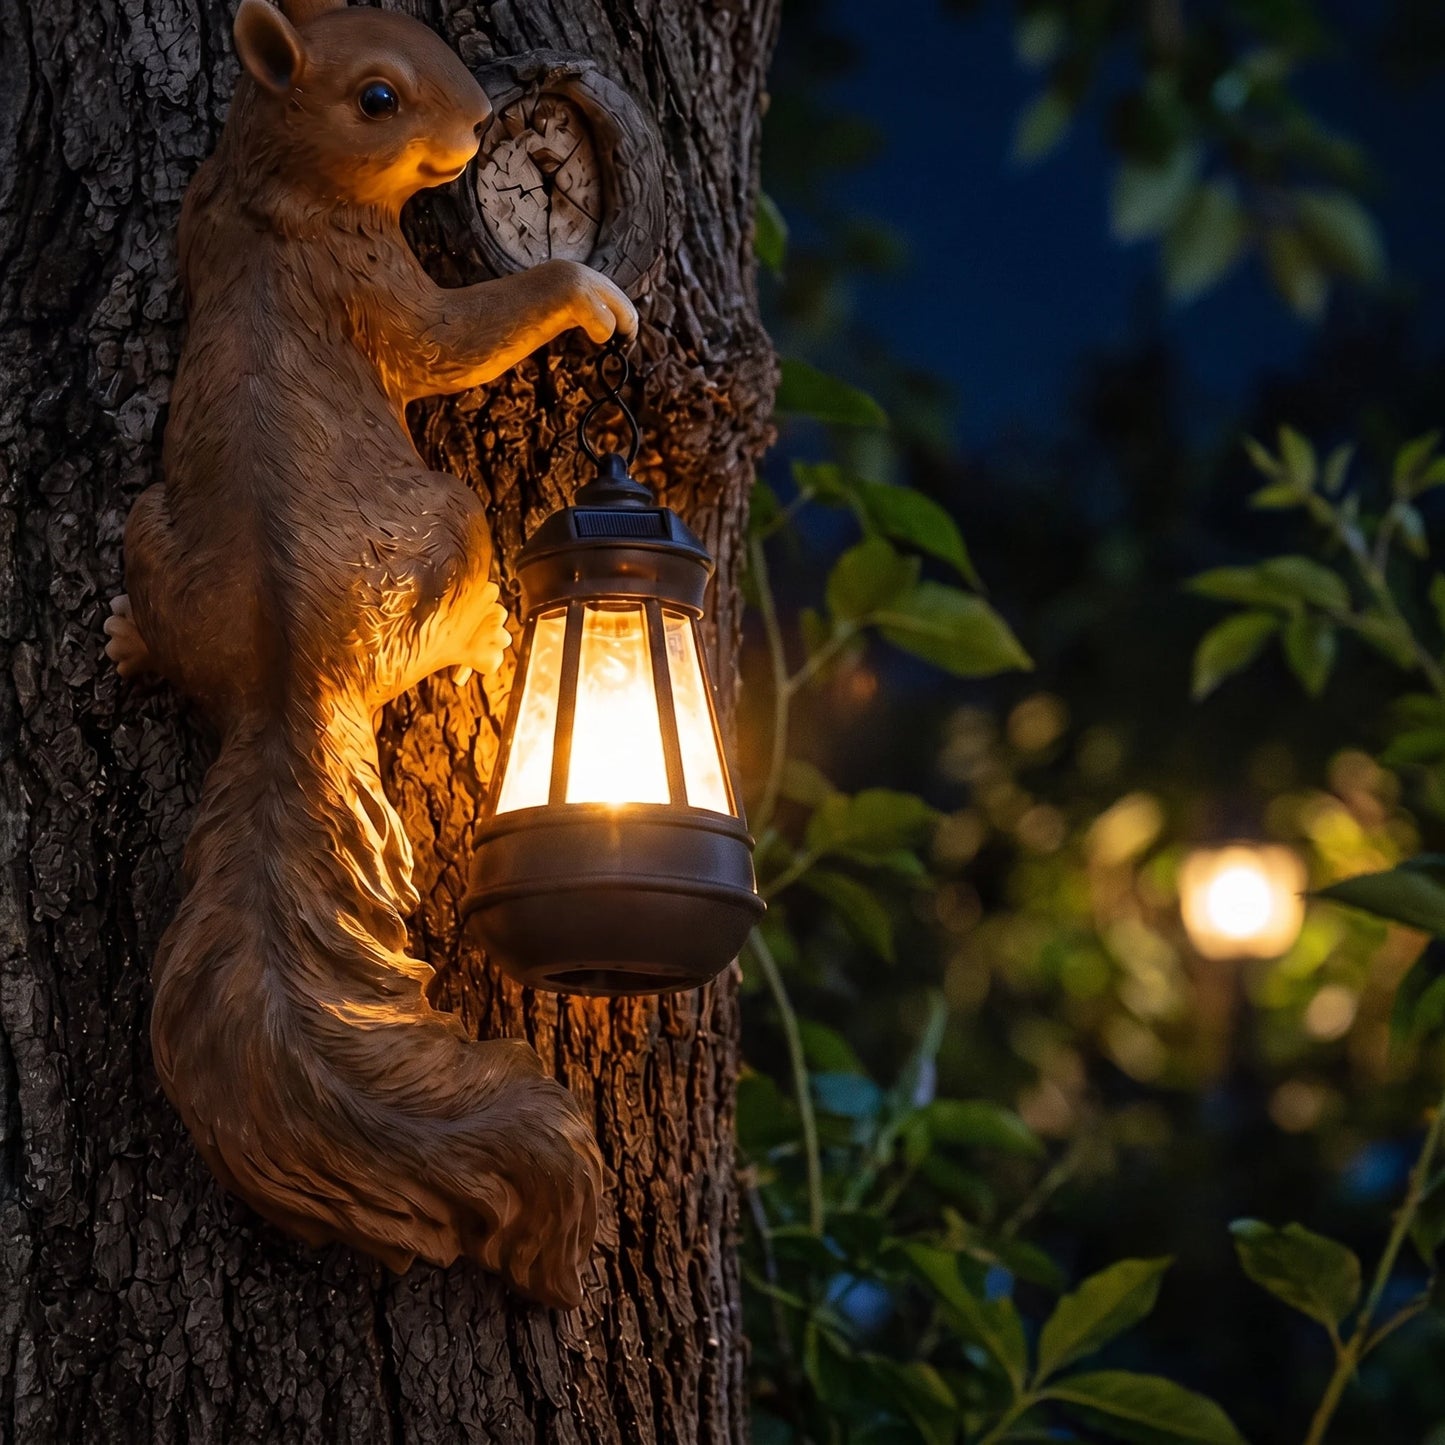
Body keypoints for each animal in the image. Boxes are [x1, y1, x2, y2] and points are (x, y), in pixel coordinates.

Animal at [102, 0, 638, 1307]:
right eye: (379, 99)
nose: (479, 123)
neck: (272, 191)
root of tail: (287, 678)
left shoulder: (201, 210)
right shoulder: (371, 283)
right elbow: (456, 338)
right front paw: (585, 291)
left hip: (151, 534)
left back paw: (129, 635)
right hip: (450, 522)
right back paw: (486, 628)